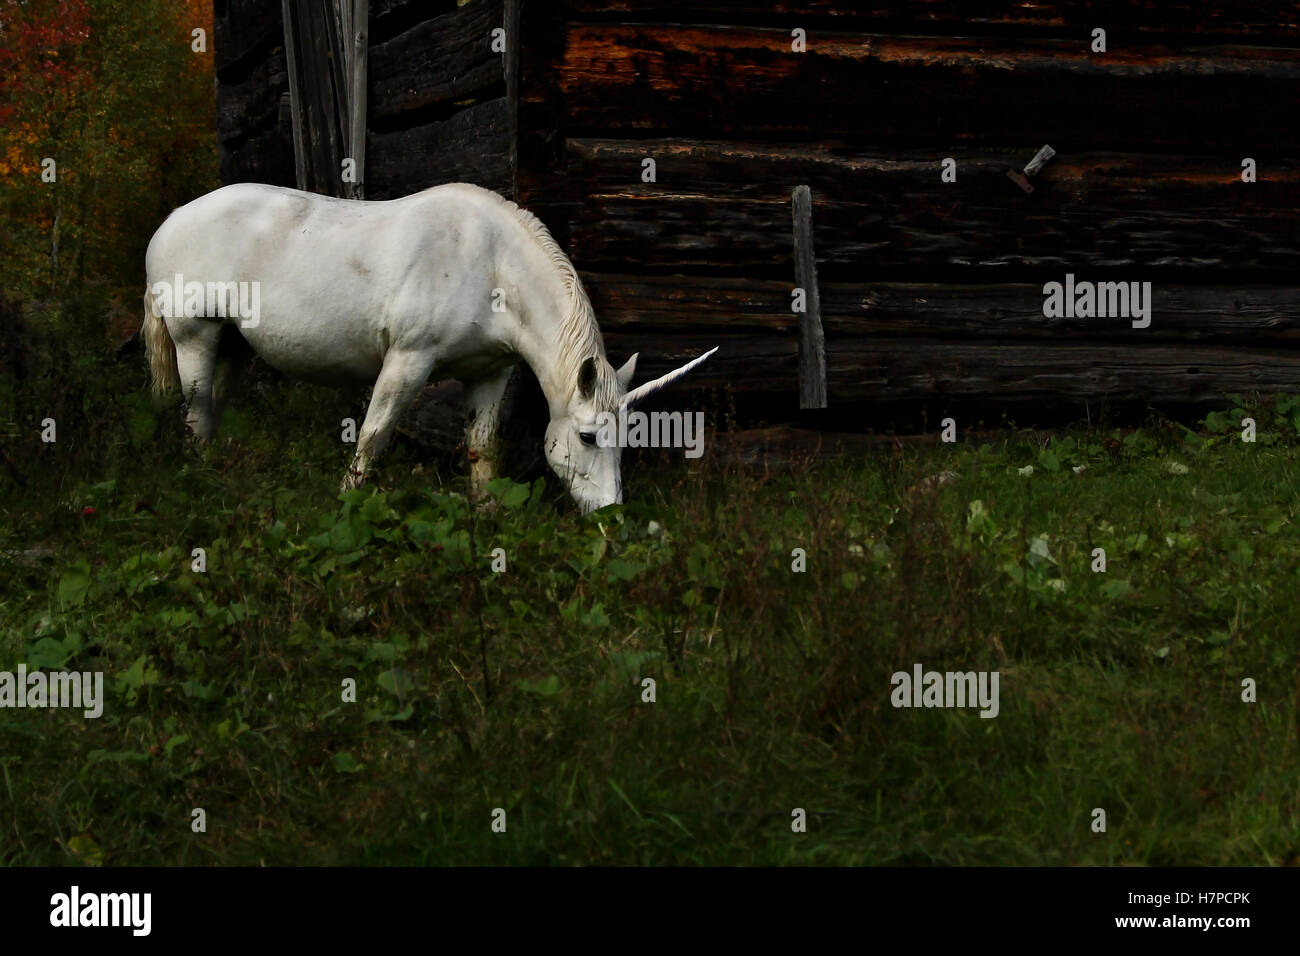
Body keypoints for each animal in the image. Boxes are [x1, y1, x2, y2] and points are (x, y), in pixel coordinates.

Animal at [143, 185, 717, 515]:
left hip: (232, 344)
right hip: (195, 337)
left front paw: (487, 520)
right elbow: (373, 437)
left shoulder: (490, 373)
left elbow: (483, 449)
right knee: (195, 414)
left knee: (211, 411)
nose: (612, 516)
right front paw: (346, 504)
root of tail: (168, 222)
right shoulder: (408, 360)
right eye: (588, 437)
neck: (491, 263)